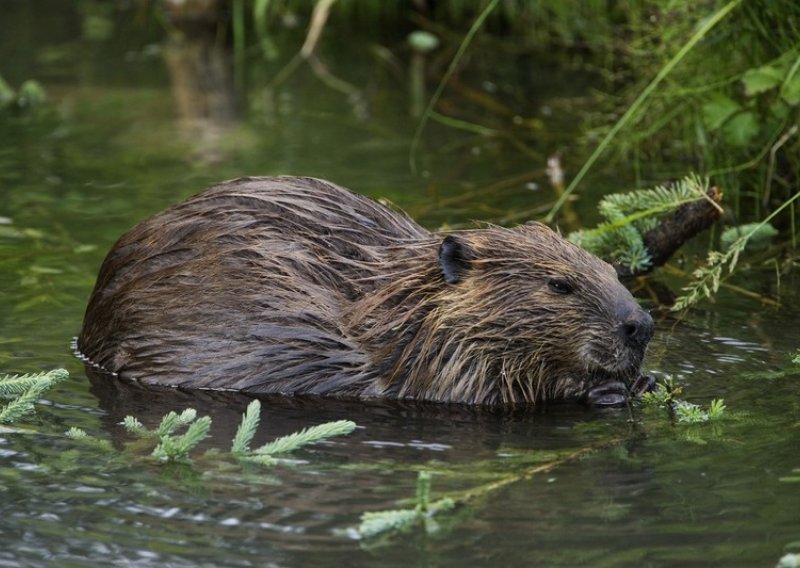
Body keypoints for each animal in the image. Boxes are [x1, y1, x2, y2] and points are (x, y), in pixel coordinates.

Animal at [75, 176, 652, 404]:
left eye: (614, 271)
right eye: (559, 284)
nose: (641, 325)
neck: (403, 308)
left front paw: (647, 378)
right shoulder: (435, 359)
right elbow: (483, 393)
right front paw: (607, 389)